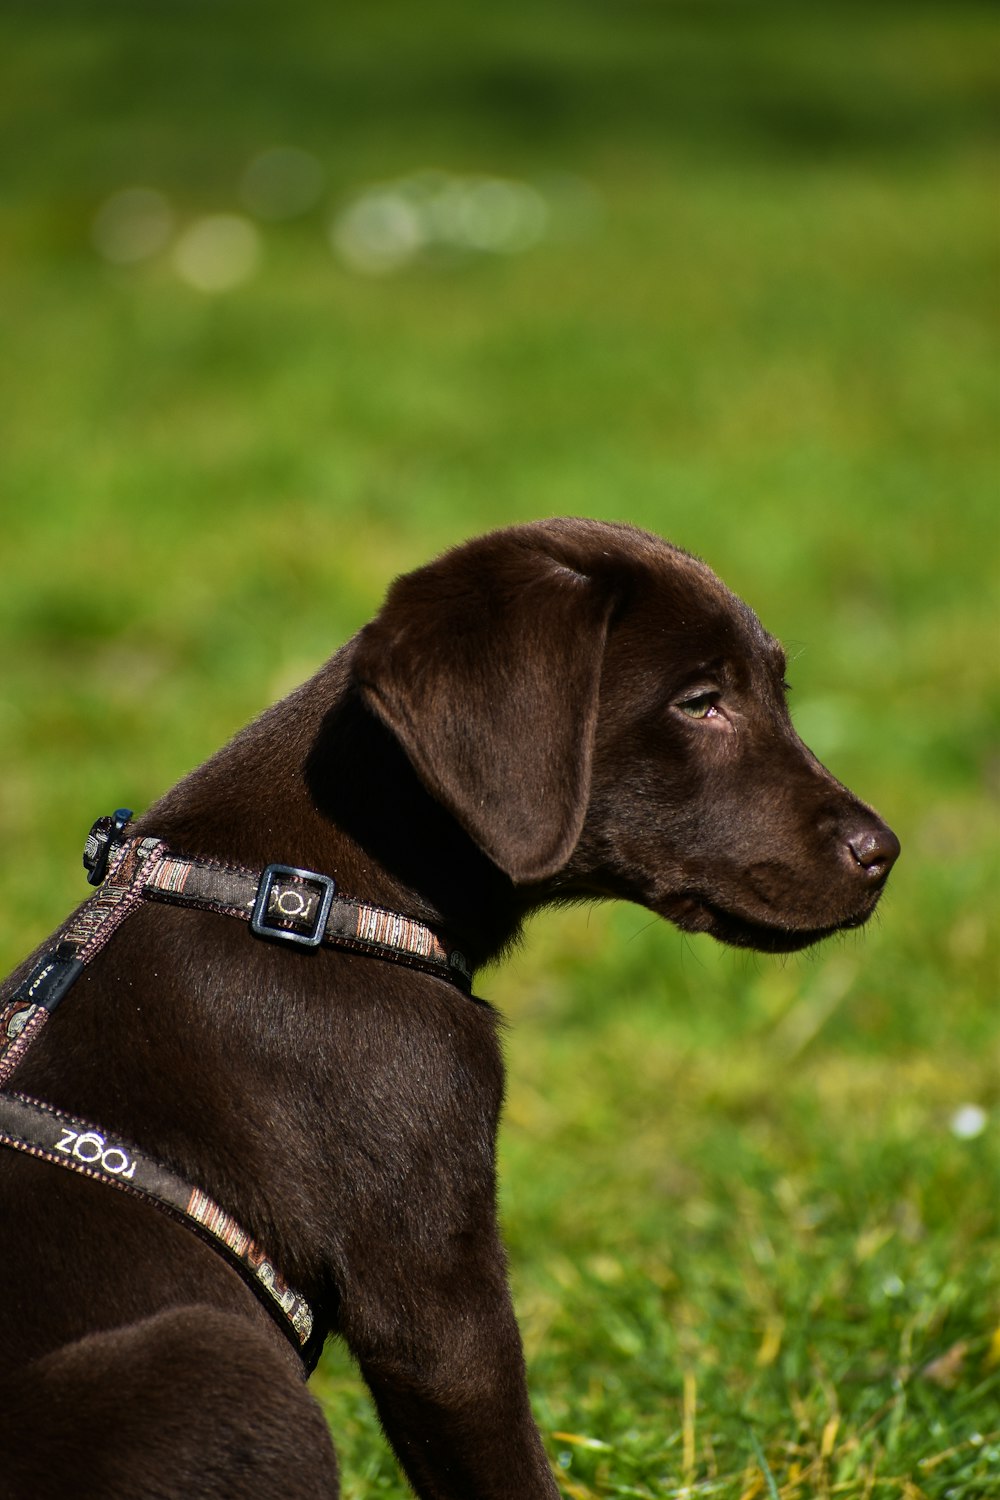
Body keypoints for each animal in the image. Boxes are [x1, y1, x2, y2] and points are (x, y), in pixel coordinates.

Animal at [0, 519, 899, 1500]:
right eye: (701, 703)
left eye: (777, 691)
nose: (884, 852)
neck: (316, 895)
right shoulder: (438, 1309)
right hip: (216, 1360)